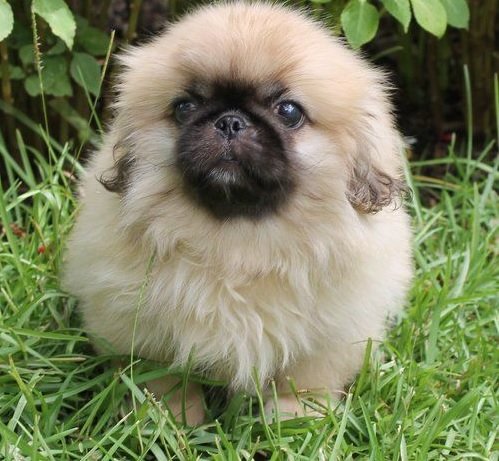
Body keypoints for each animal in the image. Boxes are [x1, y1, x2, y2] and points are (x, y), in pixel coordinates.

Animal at [63, 1, 414, 422]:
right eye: (184, 107)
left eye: (289, 112)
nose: (230, 121)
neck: (237, 241)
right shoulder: (141, 329)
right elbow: (161, 380)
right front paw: (168, 419)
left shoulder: (330, 334)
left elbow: (305, 379)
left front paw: (295, 418)